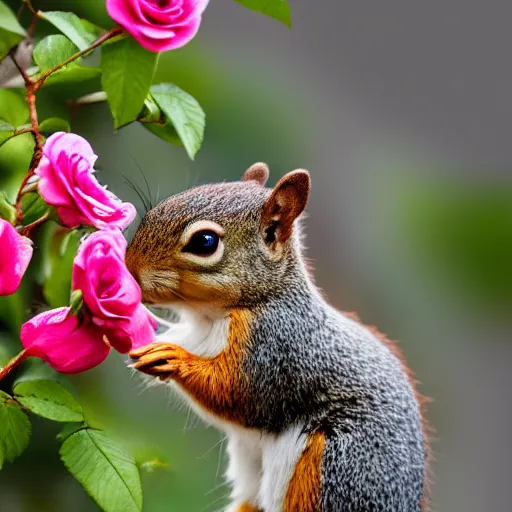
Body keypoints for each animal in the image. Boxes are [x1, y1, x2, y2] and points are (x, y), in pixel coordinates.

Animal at [127, 165, 428, 512]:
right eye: (150, 213)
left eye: (205, 242)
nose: (129, 268)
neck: (212, 317)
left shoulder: (276, 346)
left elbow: (239, 393)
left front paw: (174, 358)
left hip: (336, 465)